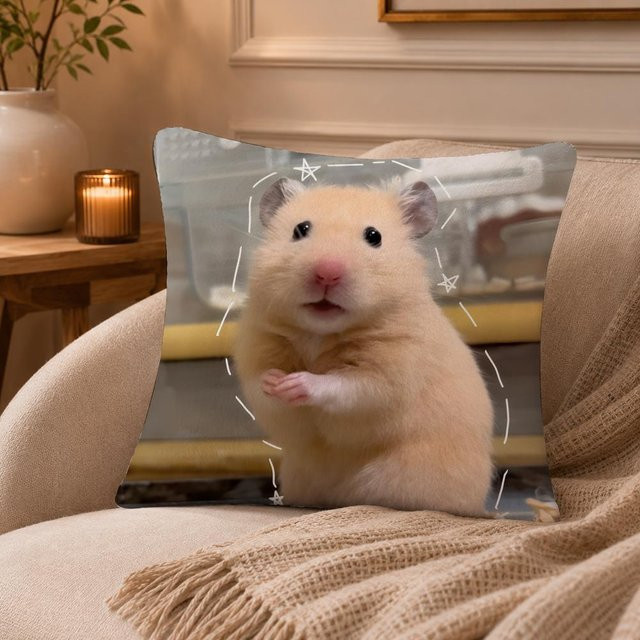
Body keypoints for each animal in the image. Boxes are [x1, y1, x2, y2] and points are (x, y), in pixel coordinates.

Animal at [234, 177, 494, 516]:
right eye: (300, 230)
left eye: (374, 237)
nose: (327, 272)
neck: (319, 334)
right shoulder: (256, 352)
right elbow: (261, 387)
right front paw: (275, 381)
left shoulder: (387, 378)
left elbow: (346, 386)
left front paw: (297, 383)